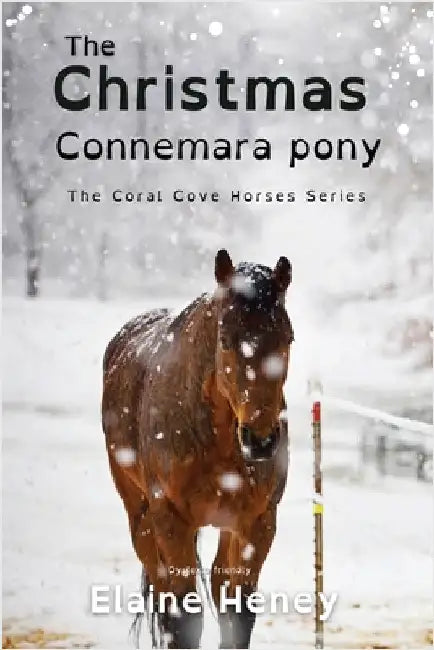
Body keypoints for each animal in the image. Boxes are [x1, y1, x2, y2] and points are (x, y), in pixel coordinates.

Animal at [102, 249, 294, 649]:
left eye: (288, 338)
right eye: (226, 339)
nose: (261, 439)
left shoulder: (258, 521)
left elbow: (238, 612)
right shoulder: (171, 520)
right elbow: (183, 618)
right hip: (141, 519)